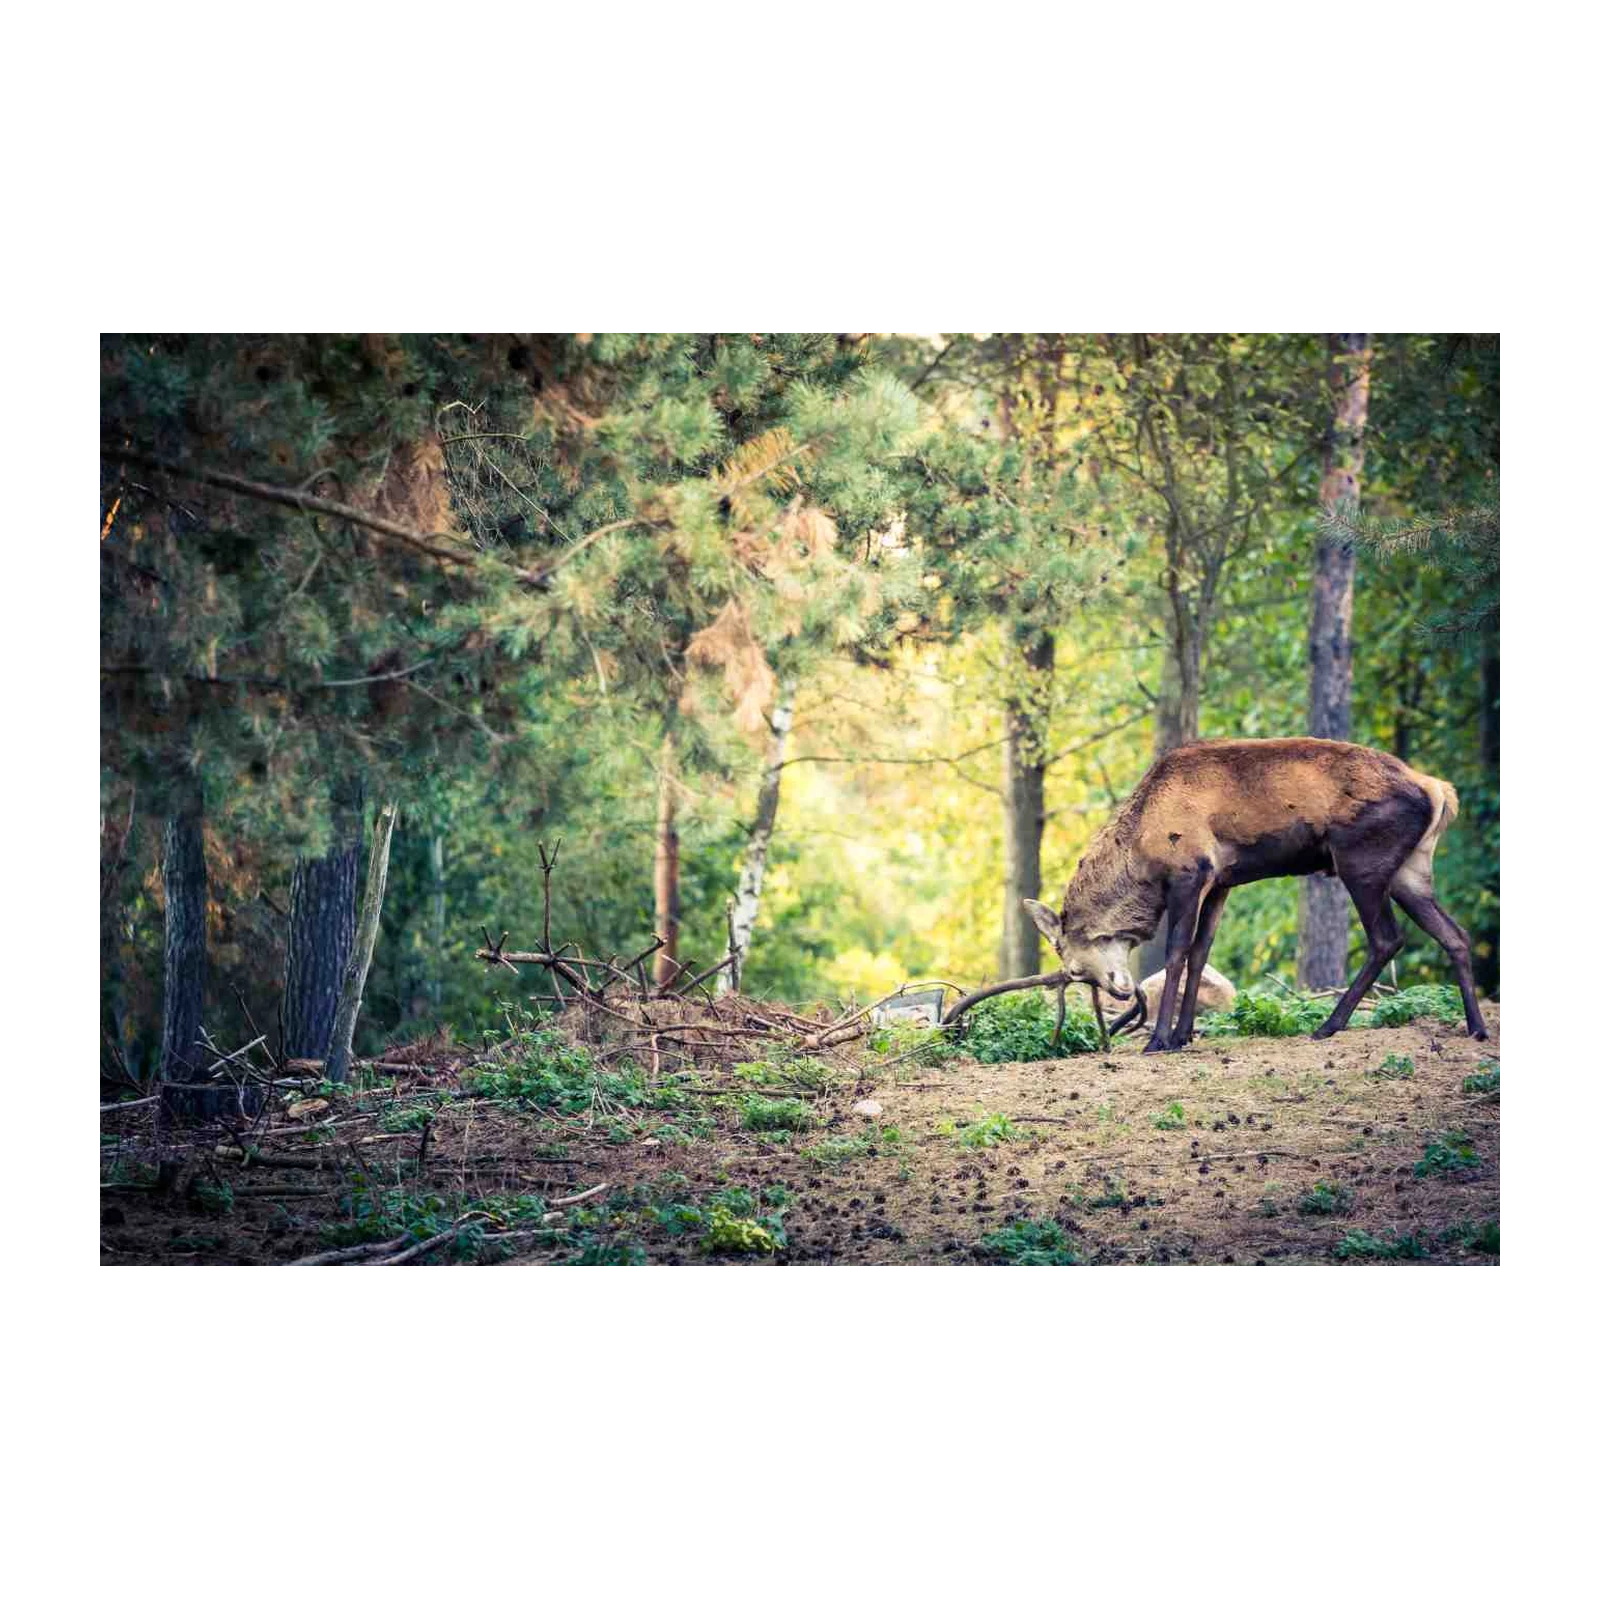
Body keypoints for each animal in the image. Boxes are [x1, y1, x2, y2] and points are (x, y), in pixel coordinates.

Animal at [1023, 737, 1489, 1054]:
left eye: (1075, 969)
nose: (1120, 991)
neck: (1141, 853)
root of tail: (1438, 790)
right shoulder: (1220, 883)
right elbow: (1201, 954)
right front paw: (1184, 1034)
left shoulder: (1190, 872)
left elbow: (1177, 953)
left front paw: (1159, 1039)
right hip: (1411, 871)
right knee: (1455, 935)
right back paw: (1477, 1027)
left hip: (1362, 861)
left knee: (1387, 938)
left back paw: (1329, 1025)